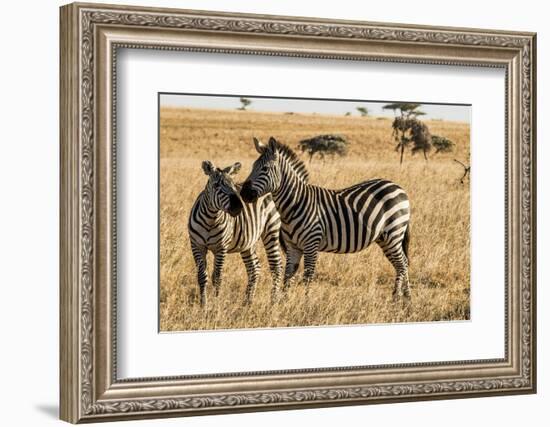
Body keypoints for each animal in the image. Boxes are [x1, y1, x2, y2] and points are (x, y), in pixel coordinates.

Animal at [190, 159, 284, 306]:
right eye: (216, 185)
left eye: (233, 186)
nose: (238, 207)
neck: (210, 220)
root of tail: (269, 189)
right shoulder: (196, 246)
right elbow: (202, 276)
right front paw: (203, 304)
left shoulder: (221, 248)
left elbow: (217, 277)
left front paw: (215, 304)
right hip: (247, 242)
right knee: (254, 268)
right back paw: (247, 302)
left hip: (271, 230)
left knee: (276, 267)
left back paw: (272, 302)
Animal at [242, 139, 414, 300]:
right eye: (252, 166)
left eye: (265, 168)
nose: (244, 193)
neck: (295, 204)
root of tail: (398, 187)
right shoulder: (293, 247)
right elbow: (288, 276)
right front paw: (283, 302)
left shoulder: (311, 245)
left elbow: (308, 277)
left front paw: (306, 303)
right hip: (384, 238)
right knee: (403, 263)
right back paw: (406, 297)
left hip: (393, 233)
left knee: (401, 264)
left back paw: (396, 297)